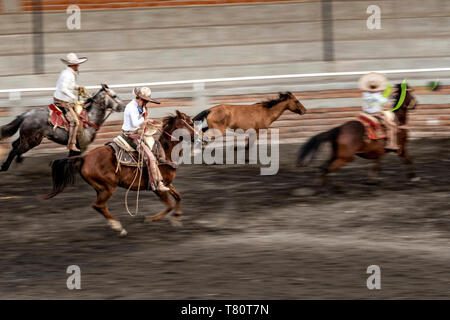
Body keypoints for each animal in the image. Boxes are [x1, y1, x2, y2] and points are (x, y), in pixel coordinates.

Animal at [42, 110, 195, 235]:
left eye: (192, 122)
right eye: (187, 123)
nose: (197, 136)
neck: (164, 152)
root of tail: (84, 157)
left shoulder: (168, 184)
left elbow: (178, 197)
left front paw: (177, 218)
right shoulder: (158, 188)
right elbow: (169, 205)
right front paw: (151, 219)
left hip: (100, 188)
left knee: (99, 206)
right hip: (108, 187)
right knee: (98, 205)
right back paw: (118, 227)